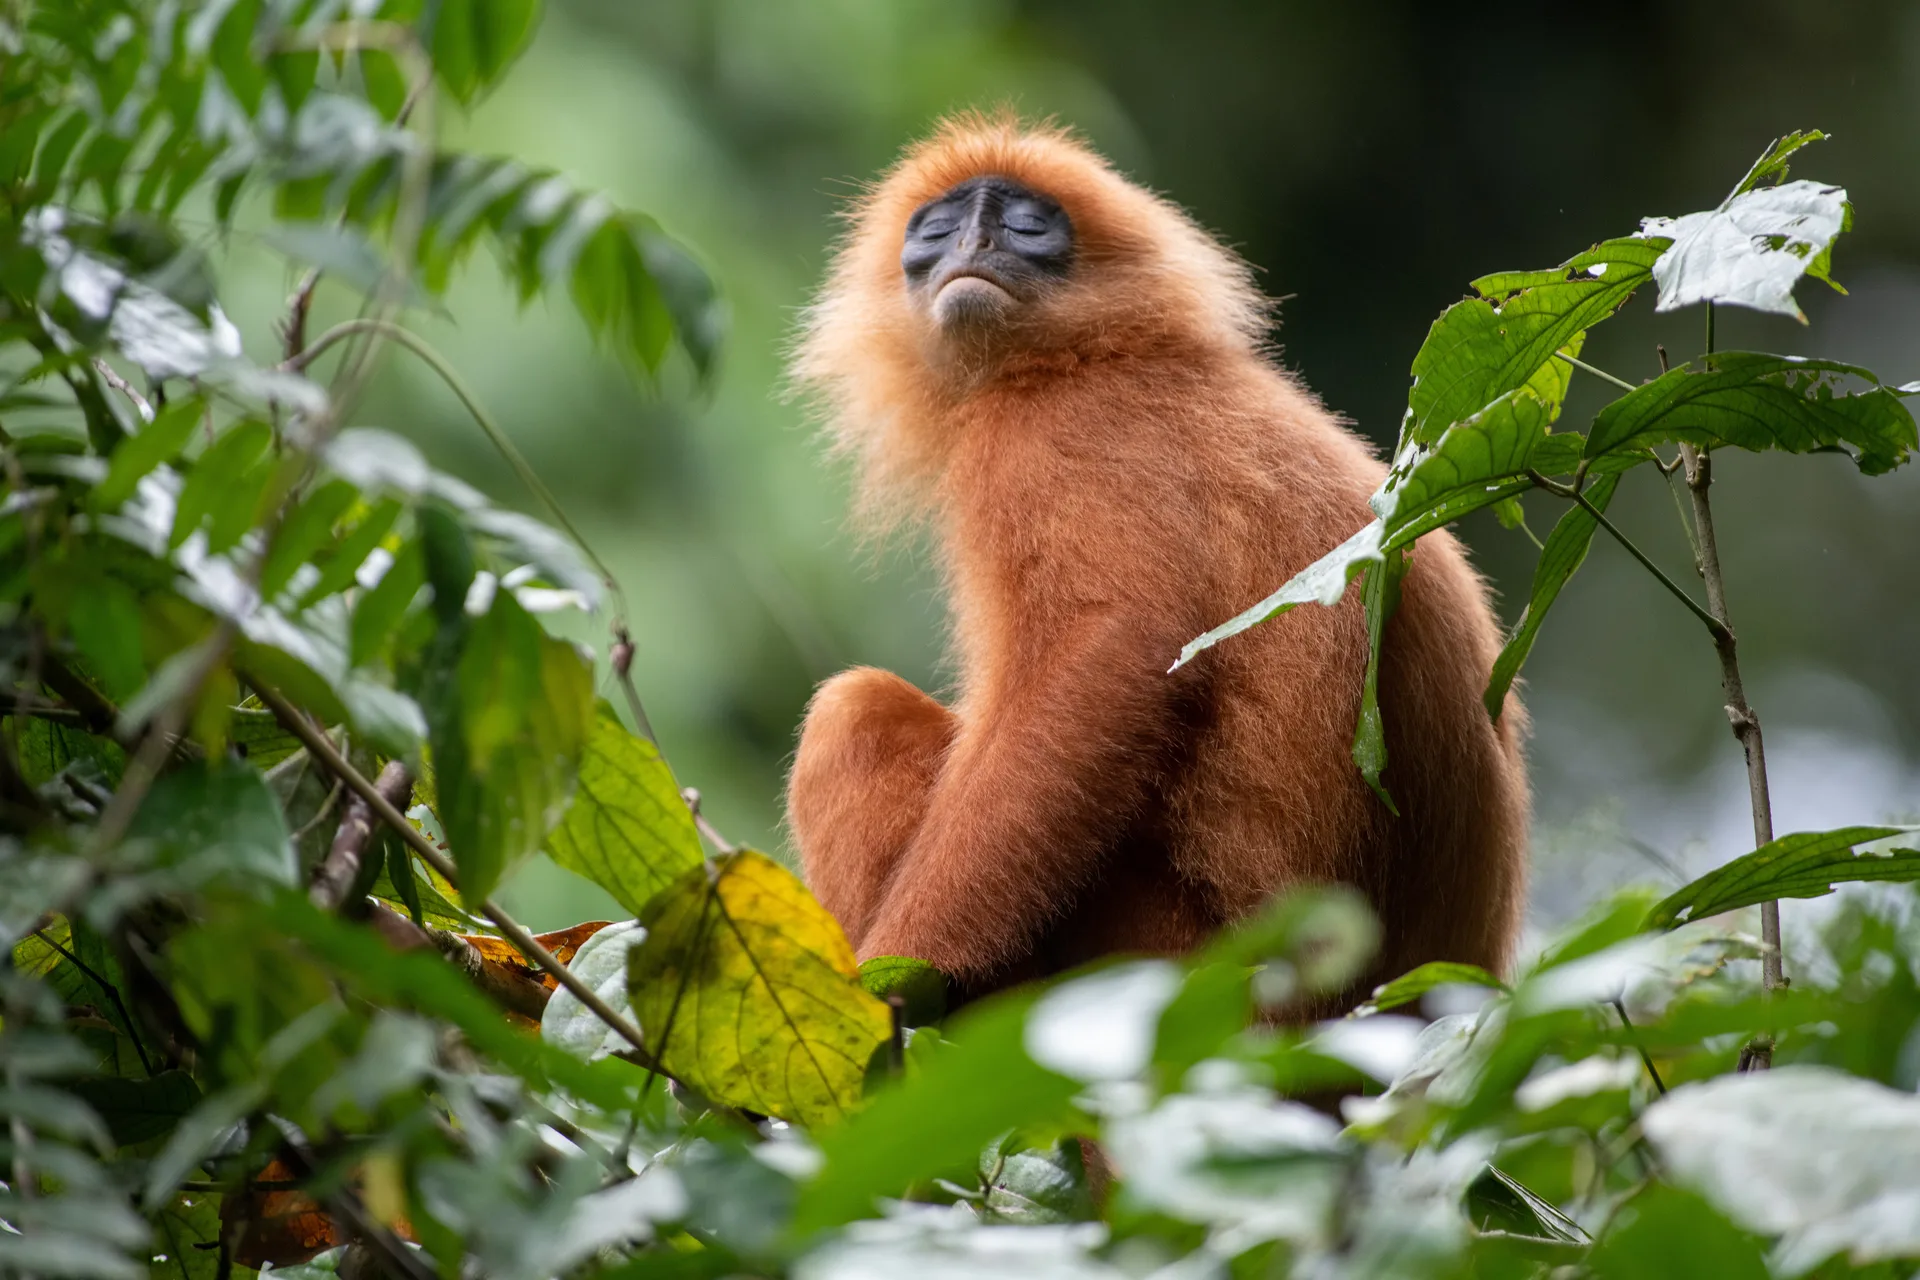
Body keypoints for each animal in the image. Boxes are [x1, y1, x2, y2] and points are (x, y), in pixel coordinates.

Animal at [785, 112, 1528, 1006]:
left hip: (1172, 965)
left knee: (853, 712)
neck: (1098, 355)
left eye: (1026, 224)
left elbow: (1111, 653)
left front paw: (899, 978)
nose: (973, 240)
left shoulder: (1054, 434)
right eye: (937, 227)